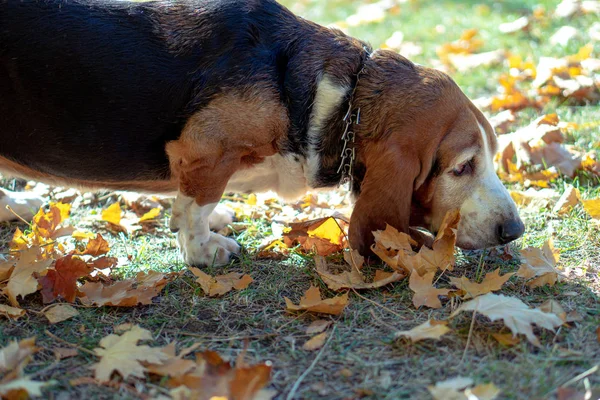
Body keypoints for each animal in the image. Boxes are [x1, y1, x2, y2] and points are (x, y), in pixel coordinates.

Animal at [0, 0, 524, 266]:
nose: (515, 231)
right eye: (461, 168)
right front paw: (203, 249)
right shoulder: (205, 151)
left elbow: (193, 205)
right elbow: (196, 205)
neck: (341, 96)